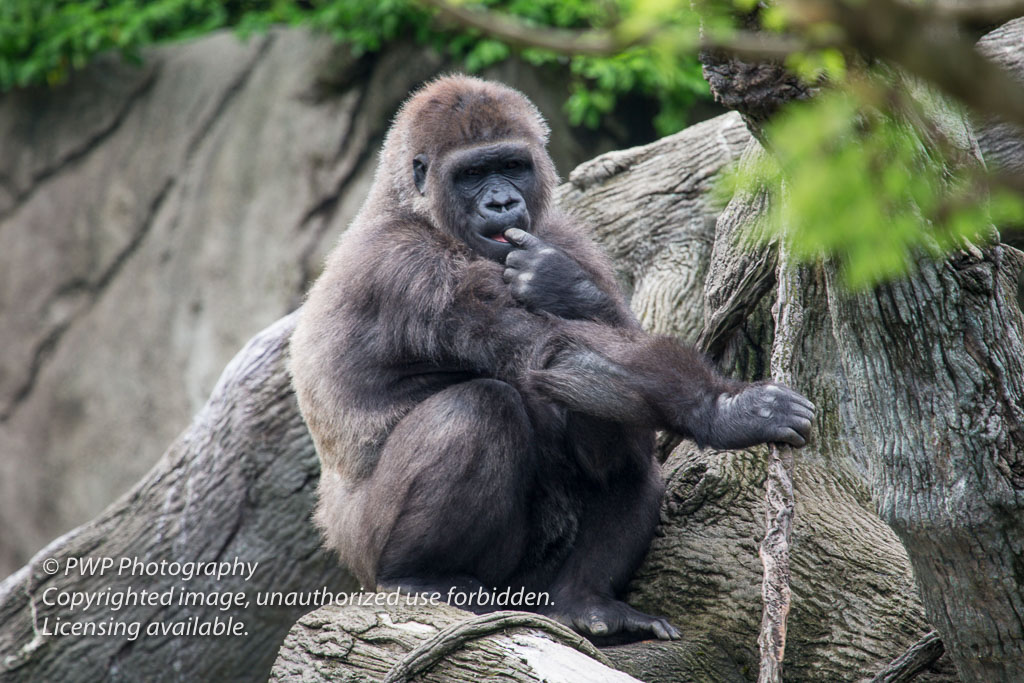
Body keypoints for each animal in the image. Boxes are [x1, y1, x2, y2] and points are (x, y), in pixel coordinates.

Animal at [290, 74, 815, 643]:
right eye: (471, 174)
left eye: (512, 164)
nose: (501, 202)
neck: (409, 206)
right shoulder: (409, 266)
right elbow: (552, 353)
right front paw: (727, 411)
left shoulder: (565, 236)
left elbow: (607, 360)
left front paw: (563, 285)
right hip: (368, 552)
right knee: (481, 409)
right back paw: (419, 574)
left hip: (534, 586)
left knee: (625, 443)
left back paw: (585, 601)